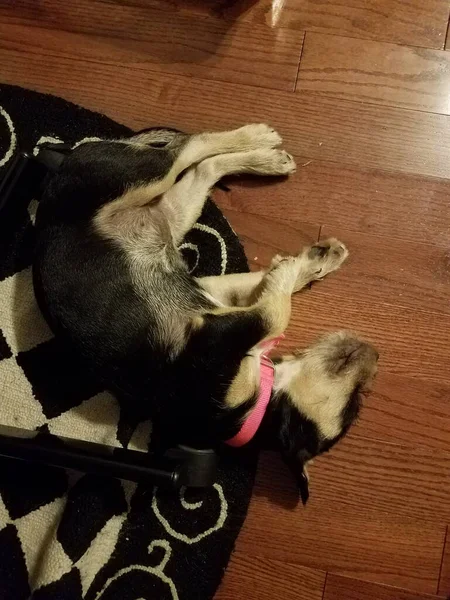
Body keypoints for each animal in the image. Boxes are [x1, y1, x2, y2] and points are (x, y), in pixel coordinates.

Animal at [33, 123, 378, 502]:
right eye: (355, 406)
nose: (375, 354)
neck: (256, 405)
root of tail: (62, 168)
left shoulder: (215, 294)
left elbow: (273, 290)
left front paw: (319, 259)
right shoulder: (217, 334)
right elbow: (277, 312)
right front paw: (295, 265)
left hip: (171, 210)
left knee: (203, 167)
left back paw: (267, 160)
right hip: (139, 177)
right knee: (186, 146)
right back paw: (258, 138)